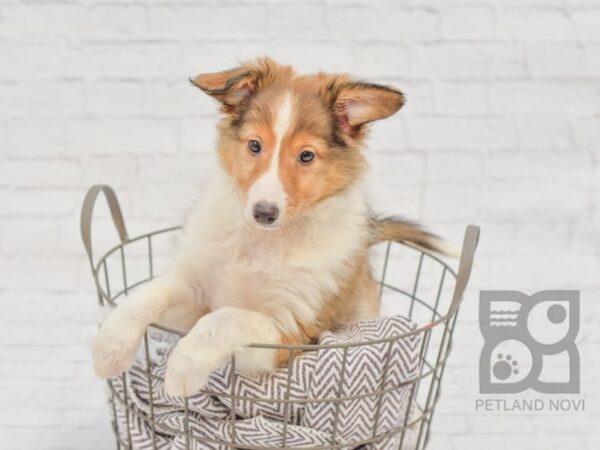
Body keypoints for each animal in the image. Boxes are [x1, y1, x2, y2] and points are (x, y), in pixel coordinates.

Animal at [91, 58, 452, 396]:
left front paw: (183, 367)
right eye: (254, 146)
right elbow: (149, 295)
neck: (263, 241)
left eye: (306, 156)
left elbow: (225, 319)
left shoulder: (286, 334)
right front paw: (109, 348)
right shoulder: (196, 294)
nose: (264, 212)